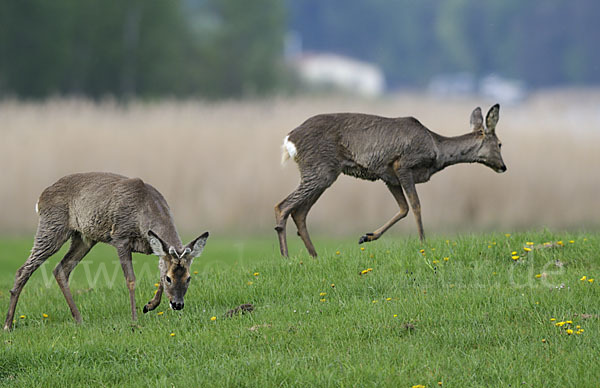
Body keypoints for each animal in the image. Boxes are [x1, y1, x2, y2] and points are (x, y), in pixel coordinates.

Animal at [4, 173, 209, 330]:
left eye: (188, 278)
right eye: (169, 279)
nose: (178, 304)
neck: (144, 213)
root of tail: (40, 198)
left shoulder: (153, 247)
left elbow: (159, 267)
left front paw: (149, 305)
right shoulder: (121, 237)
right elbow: (131, 279)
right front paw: (134, 319)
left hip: (84, 238)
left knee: (61, 269)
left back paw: (79, 319)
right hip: (52, 227)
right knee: (24, 269)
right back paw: (8, 324)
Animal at [276, 104, 506, 258]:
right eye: (500, 144)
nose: (503, 167)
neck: (436, 149)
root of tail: (289, 140)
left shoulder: (388, 176)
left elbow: (403, 208)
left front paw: (367, 236)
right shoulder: (402, 165)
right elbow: (416, 205)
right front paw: (423, 242)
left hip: (323, 173)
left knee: (299, 212)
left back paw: (314, 256)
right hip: (320, 169)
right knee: (282, 206)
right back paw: (286, 257)